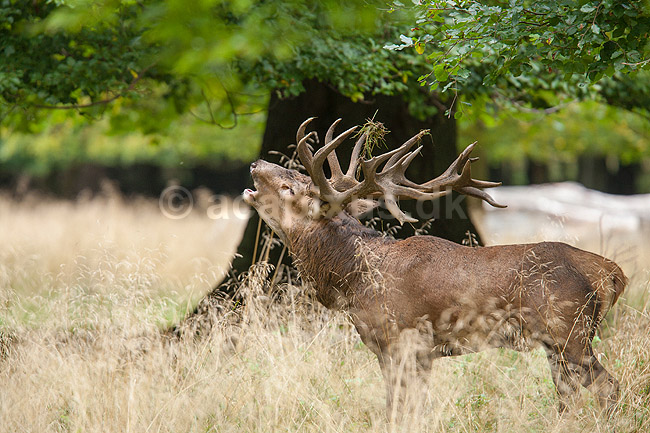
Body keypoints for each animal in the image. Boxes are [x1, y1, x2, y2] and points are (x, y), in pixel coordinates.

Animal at [242, 117, 627, 419]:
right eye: (293, 172)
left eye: (289, 187)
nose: (255, 164)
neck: (355, 280)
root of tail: (610, 273)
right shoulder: (421, 354)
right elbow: (414, 407)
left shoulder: (400, 340)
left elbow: (395, 408)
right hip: (556, 343)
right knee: (568, 396)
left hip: (569, 330)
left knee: (608, 386)